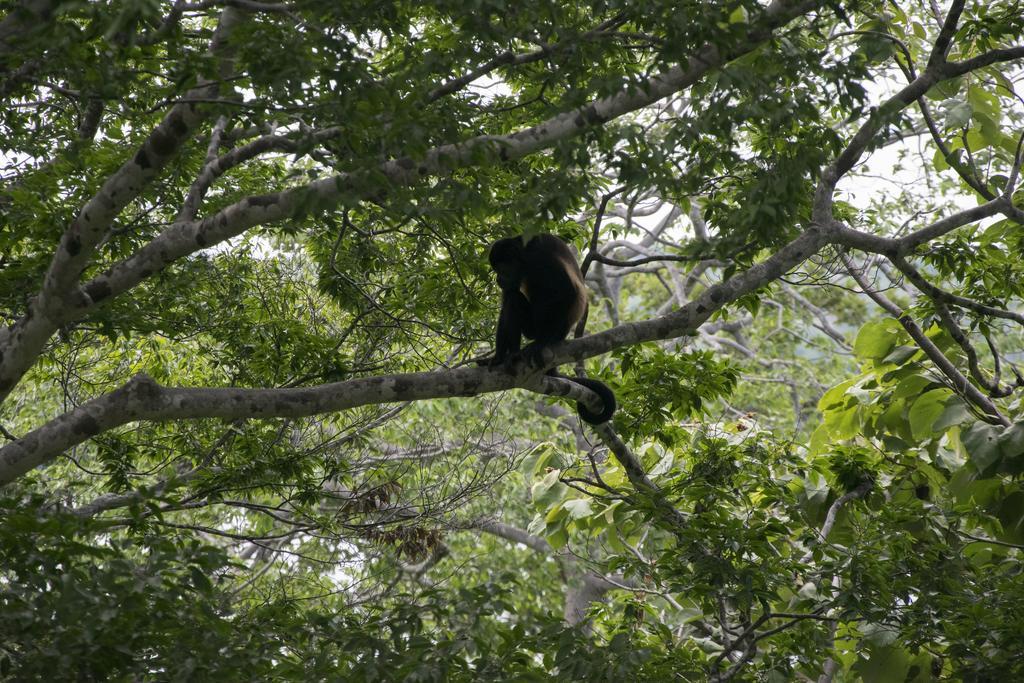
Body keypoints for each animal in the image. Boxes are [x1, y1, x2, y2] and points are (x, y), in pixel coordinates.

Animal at [481, 236, 610, 428]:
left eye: (502, 269)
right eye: (495, 270)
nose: (498, 278)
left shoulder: (538, 257)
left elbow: (566, 290)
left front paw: (540, 344)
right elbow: (507, 300)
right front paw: (497, 357)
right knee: (512, 299)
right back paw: (509, 356)